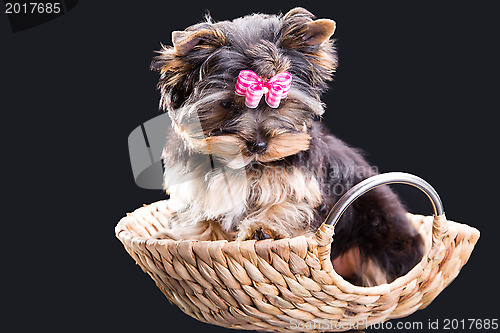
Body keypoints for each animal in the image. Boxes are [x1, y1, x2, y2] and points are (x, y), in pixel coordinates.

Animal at [150, 6, 424, 284]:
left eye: (279, 102)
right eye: (226, 105)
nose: (258, 144)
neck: (246, 166)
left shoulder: (304, 180)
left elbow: (290, 202)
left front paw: (265, 228)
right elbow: (201, 215)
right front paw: (189, 237)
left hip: (381, 229)